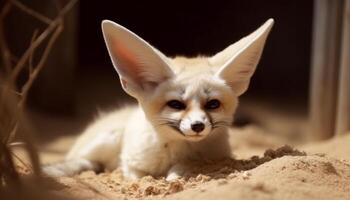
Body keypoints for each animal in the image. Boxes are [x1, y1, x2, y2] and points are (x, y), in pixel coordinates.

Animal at [43, 18, 274, 180]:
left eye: (213, 104)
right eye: (176, 104)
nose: (198, 126)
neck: (174, 152)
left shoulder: (214, 158)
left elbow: (182, 170)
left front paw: (175, 174)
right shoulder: (130, 164)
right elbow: (137, 176)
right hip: (106, 139)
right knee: (82, 161)